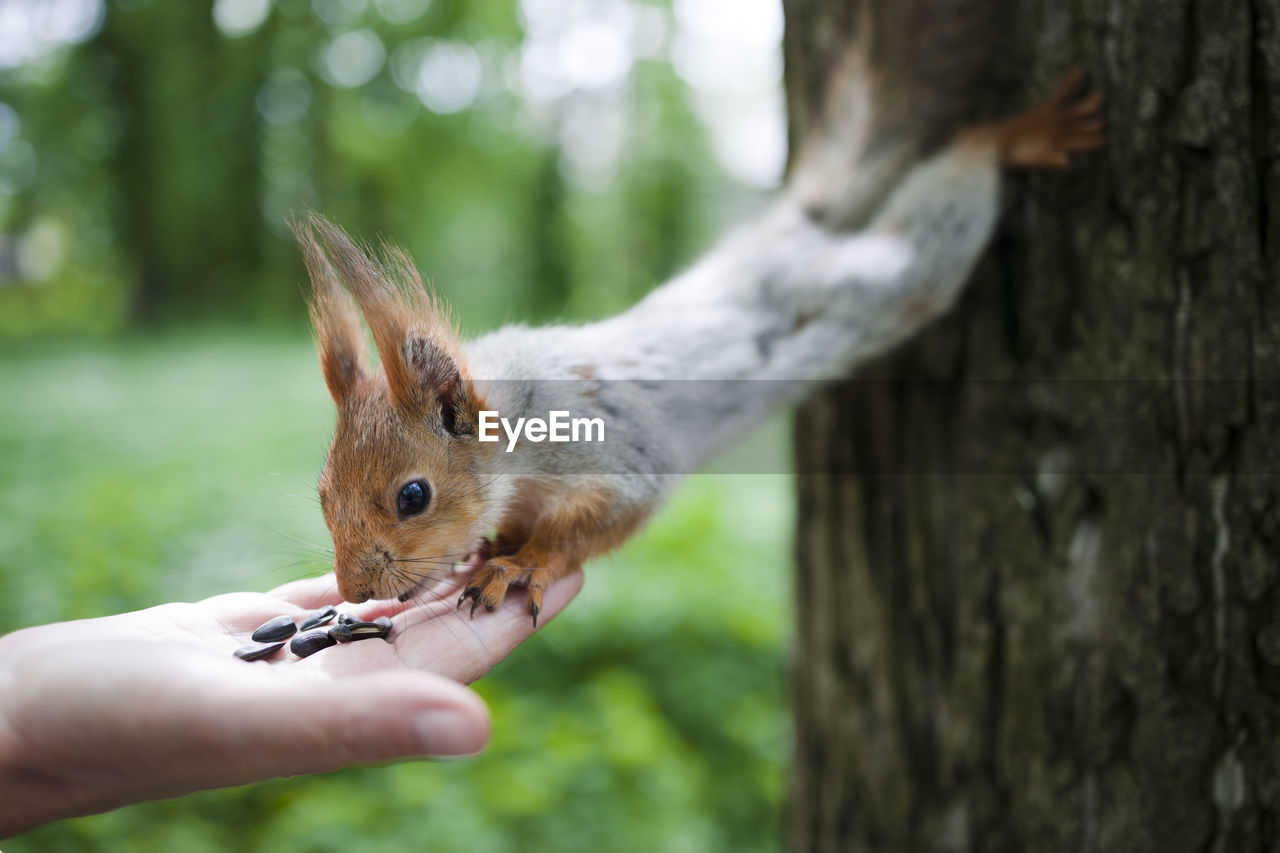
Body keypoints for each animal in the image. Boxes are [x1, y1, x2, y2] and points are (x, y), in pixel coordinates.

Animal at [288, 11, 1100, 625]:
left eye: (413, 496)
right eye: (320, 492)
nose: (354, 590)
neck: (519, 428)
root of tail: (778, 234)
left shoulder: (618, 455)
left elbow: (597, 524)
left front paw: (524, 561)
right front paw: (498, 544)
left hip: (884, 279)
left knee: (937, 225)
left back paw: (1015, 137)